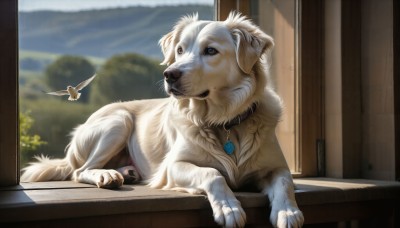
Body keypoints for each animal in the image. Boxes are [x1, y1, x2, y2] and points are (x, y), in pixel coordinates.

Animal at [21, 12, 304, 228]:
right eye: (179, 50)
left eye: (210, 51)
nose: (170, 74)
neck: (224, 121)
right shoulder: (173, 166)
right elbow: (212, 173)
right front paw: (229, 208)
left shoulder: (276, 166)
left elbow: (285, 182)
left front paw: (288, 212)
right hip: (119, 120)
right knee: (80, 170)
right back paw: (107, 175)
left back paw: (126, 172)